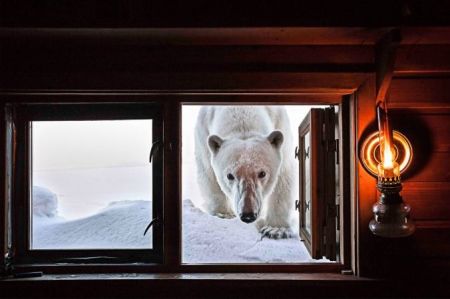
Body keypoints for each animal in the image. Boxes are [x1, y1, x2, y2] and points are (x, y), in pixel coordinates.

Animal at [193, 106, 296, 240]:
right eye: (229, 175)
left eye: (262, 173)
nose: (248, 215)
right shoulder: (203, 131)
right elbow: (208, 173)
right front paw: (224, 214)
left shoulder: (281, 124)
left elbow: (283, 177)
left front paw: (275, 229)